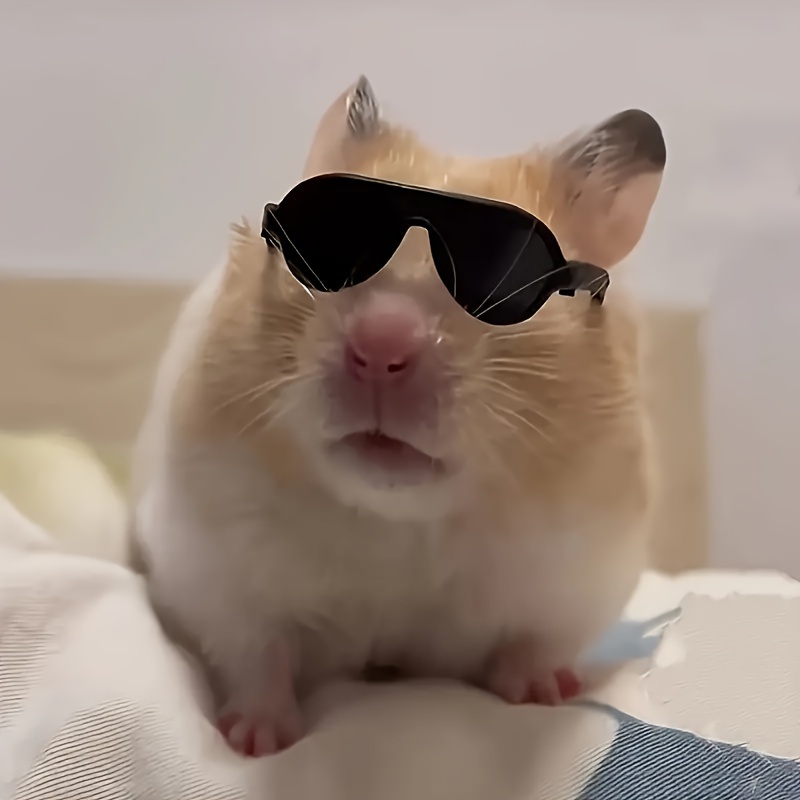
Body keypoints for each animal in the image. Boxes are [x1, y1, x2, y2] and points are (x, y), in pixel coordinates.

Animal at [132, 76, 666, 757]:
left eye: (506, 270)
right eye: (328, 242)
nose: (380, 347)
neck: (399, 520)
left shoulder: (578, 581)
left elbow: (531, 645)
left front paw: (544, 694)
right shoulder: (213, 570)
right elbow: (258, 658)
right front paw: (255, 742)